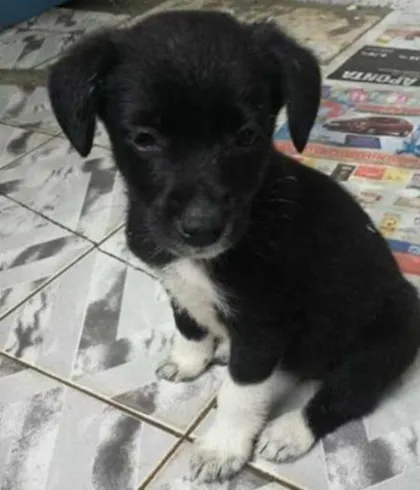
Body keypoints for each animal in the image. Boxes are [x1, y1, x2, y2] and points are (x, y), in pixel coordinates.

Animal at [48, 10, 420, 483]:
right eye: (144, 138)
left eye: (246, 136)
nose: (202, 229)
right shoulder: (177, 285)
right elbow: (189, 324)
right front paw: (190, 361)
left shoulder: (263, 324)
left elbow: (241, 393)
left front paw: (223, 447)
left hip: (389, 334)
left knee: (348, 393)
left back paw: (289, 431)